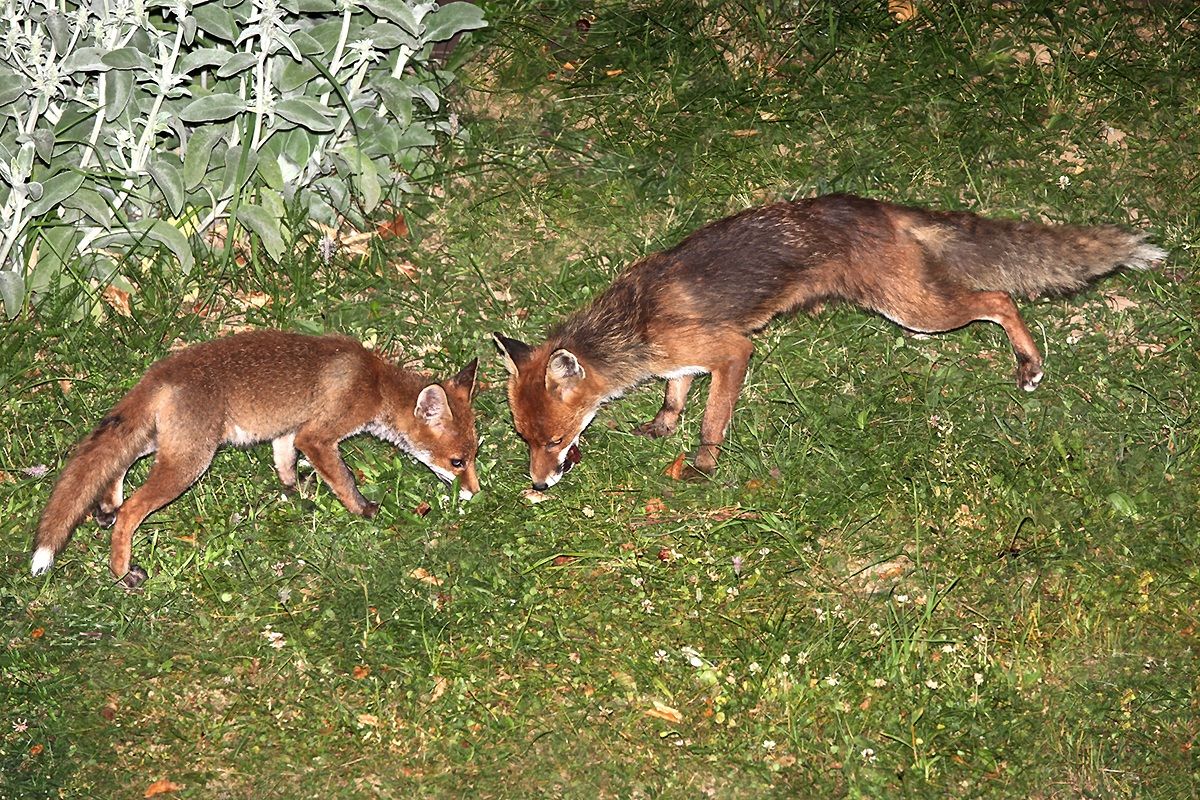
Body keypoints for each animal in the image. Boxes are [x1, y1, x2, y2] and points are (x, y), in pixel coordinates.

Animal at [30, 329, 480, 587]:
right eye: (458, 462)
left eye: (475, 455)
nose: (476, 494)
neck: (376, 384)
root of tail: (163, 370)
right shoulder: (318, 436)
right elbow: (344, 479)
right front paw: (363, 509)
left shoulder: (288, 431)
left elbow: (284, 463)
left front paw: (294, 493)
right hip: (191, 460)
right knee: (132, 510)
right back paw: (123, 571)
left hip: (167, 442)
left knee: (118, 463)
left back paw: (106, 506)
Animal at [493, 193, 1166, 489]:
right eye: (525, 441)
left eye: (552, 441)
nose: (538, 483)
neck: (633, 323)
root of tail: (876, 205)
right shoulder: (682, 359)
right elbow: (675, 397)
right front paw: (663, 426)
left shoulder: (732, 350)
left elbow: (712, 418)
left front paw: (704, 460)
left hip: (917, 311)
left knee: (999, 298)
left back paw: (1029, 362)